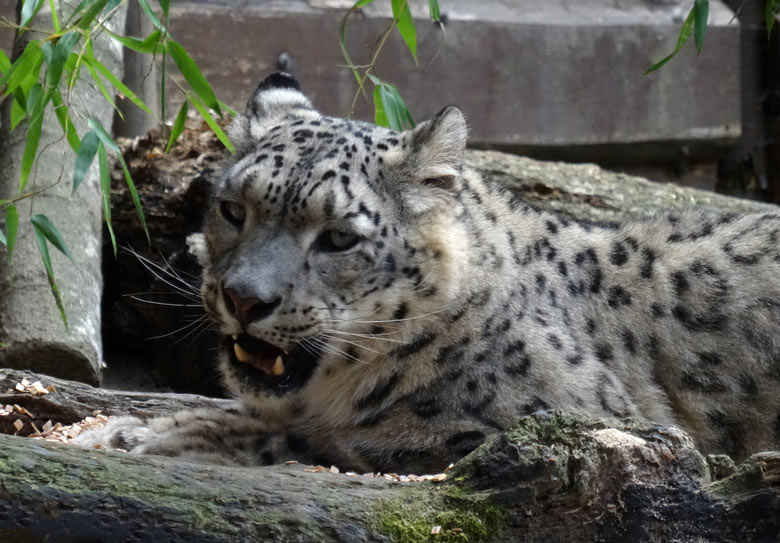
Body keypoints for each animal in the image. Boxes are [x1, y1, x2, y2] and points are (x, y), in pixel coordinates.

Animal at [77, 73, 780, 476]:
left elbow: (329, 442)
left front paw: (161, 437)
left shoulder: (576, 421)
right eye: (232, 208)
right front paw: (132, 427)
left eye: (338, 237)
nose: (244, 298)